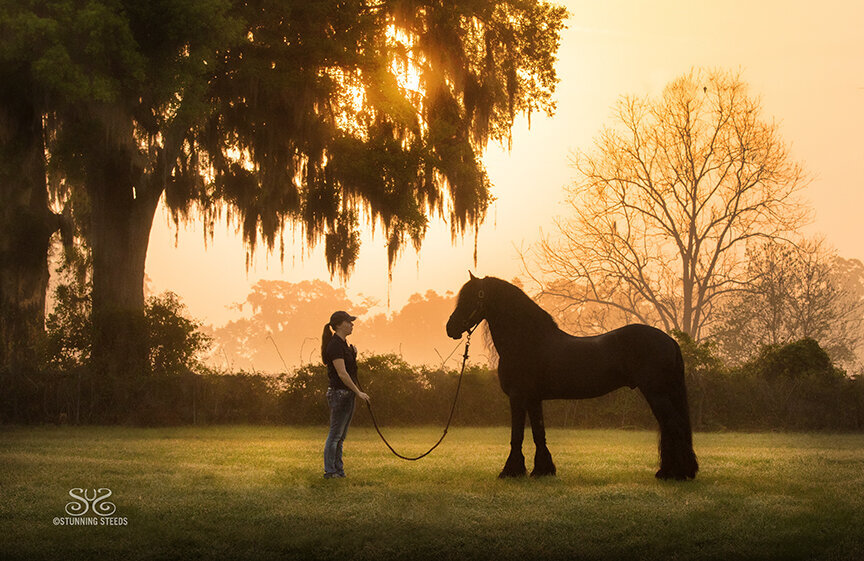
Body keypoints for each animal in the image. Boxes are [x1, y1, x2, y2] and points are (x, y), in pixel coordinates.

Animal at [442, 274, 700, 480]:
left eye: (472, 298)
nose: (450, 328)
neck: (528, 341)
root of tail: (669, 340)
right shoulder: (533, 399)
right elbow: (539, 433)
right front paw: (542, 470)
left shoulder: (517, 397)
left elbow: (517, 435)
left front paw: (510, 471)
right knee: (670, 428)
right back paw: (671, 471)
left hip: (657, 393)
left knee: (673, 426)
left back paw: (677, 473)